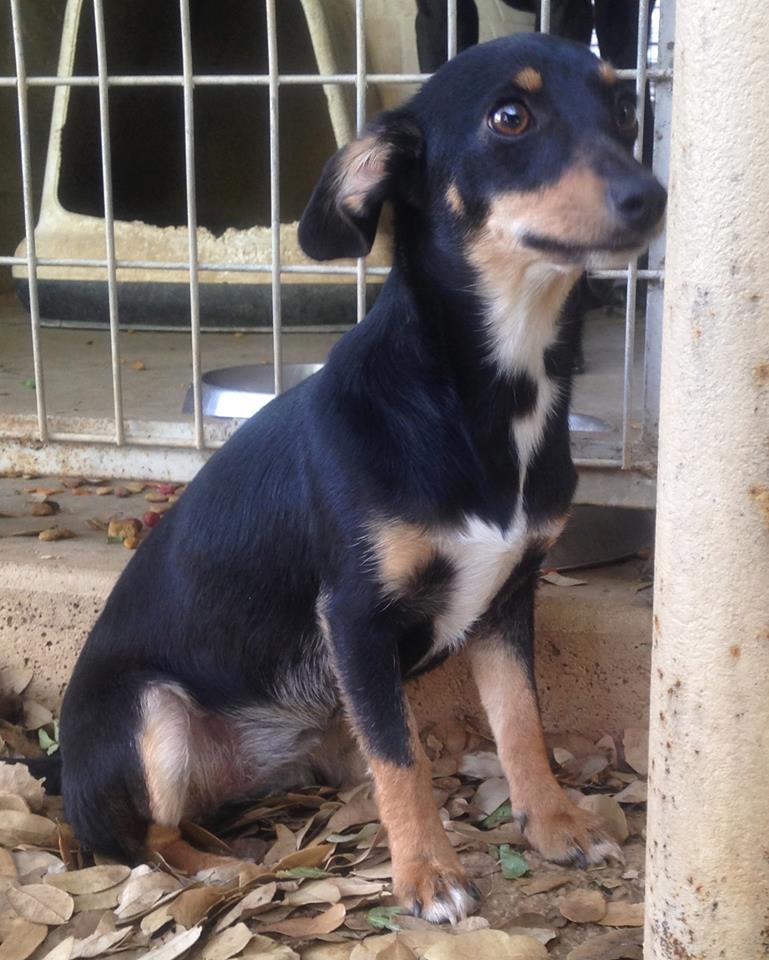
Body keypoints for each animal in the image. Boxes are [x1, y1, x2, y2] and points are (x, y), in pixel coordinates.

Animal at [48, 35, 664, 924]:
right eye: (509, 117)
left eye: (622, 109)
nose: (650, 197)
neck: (484, 395)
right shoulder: (354, 617)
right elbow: (402, 762)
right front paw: (428, 874)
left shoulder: (508, 602)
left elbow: (521, 725)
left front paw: (553, 823)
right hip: (149, 711)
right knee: (141, 841)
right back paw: (216, 871)